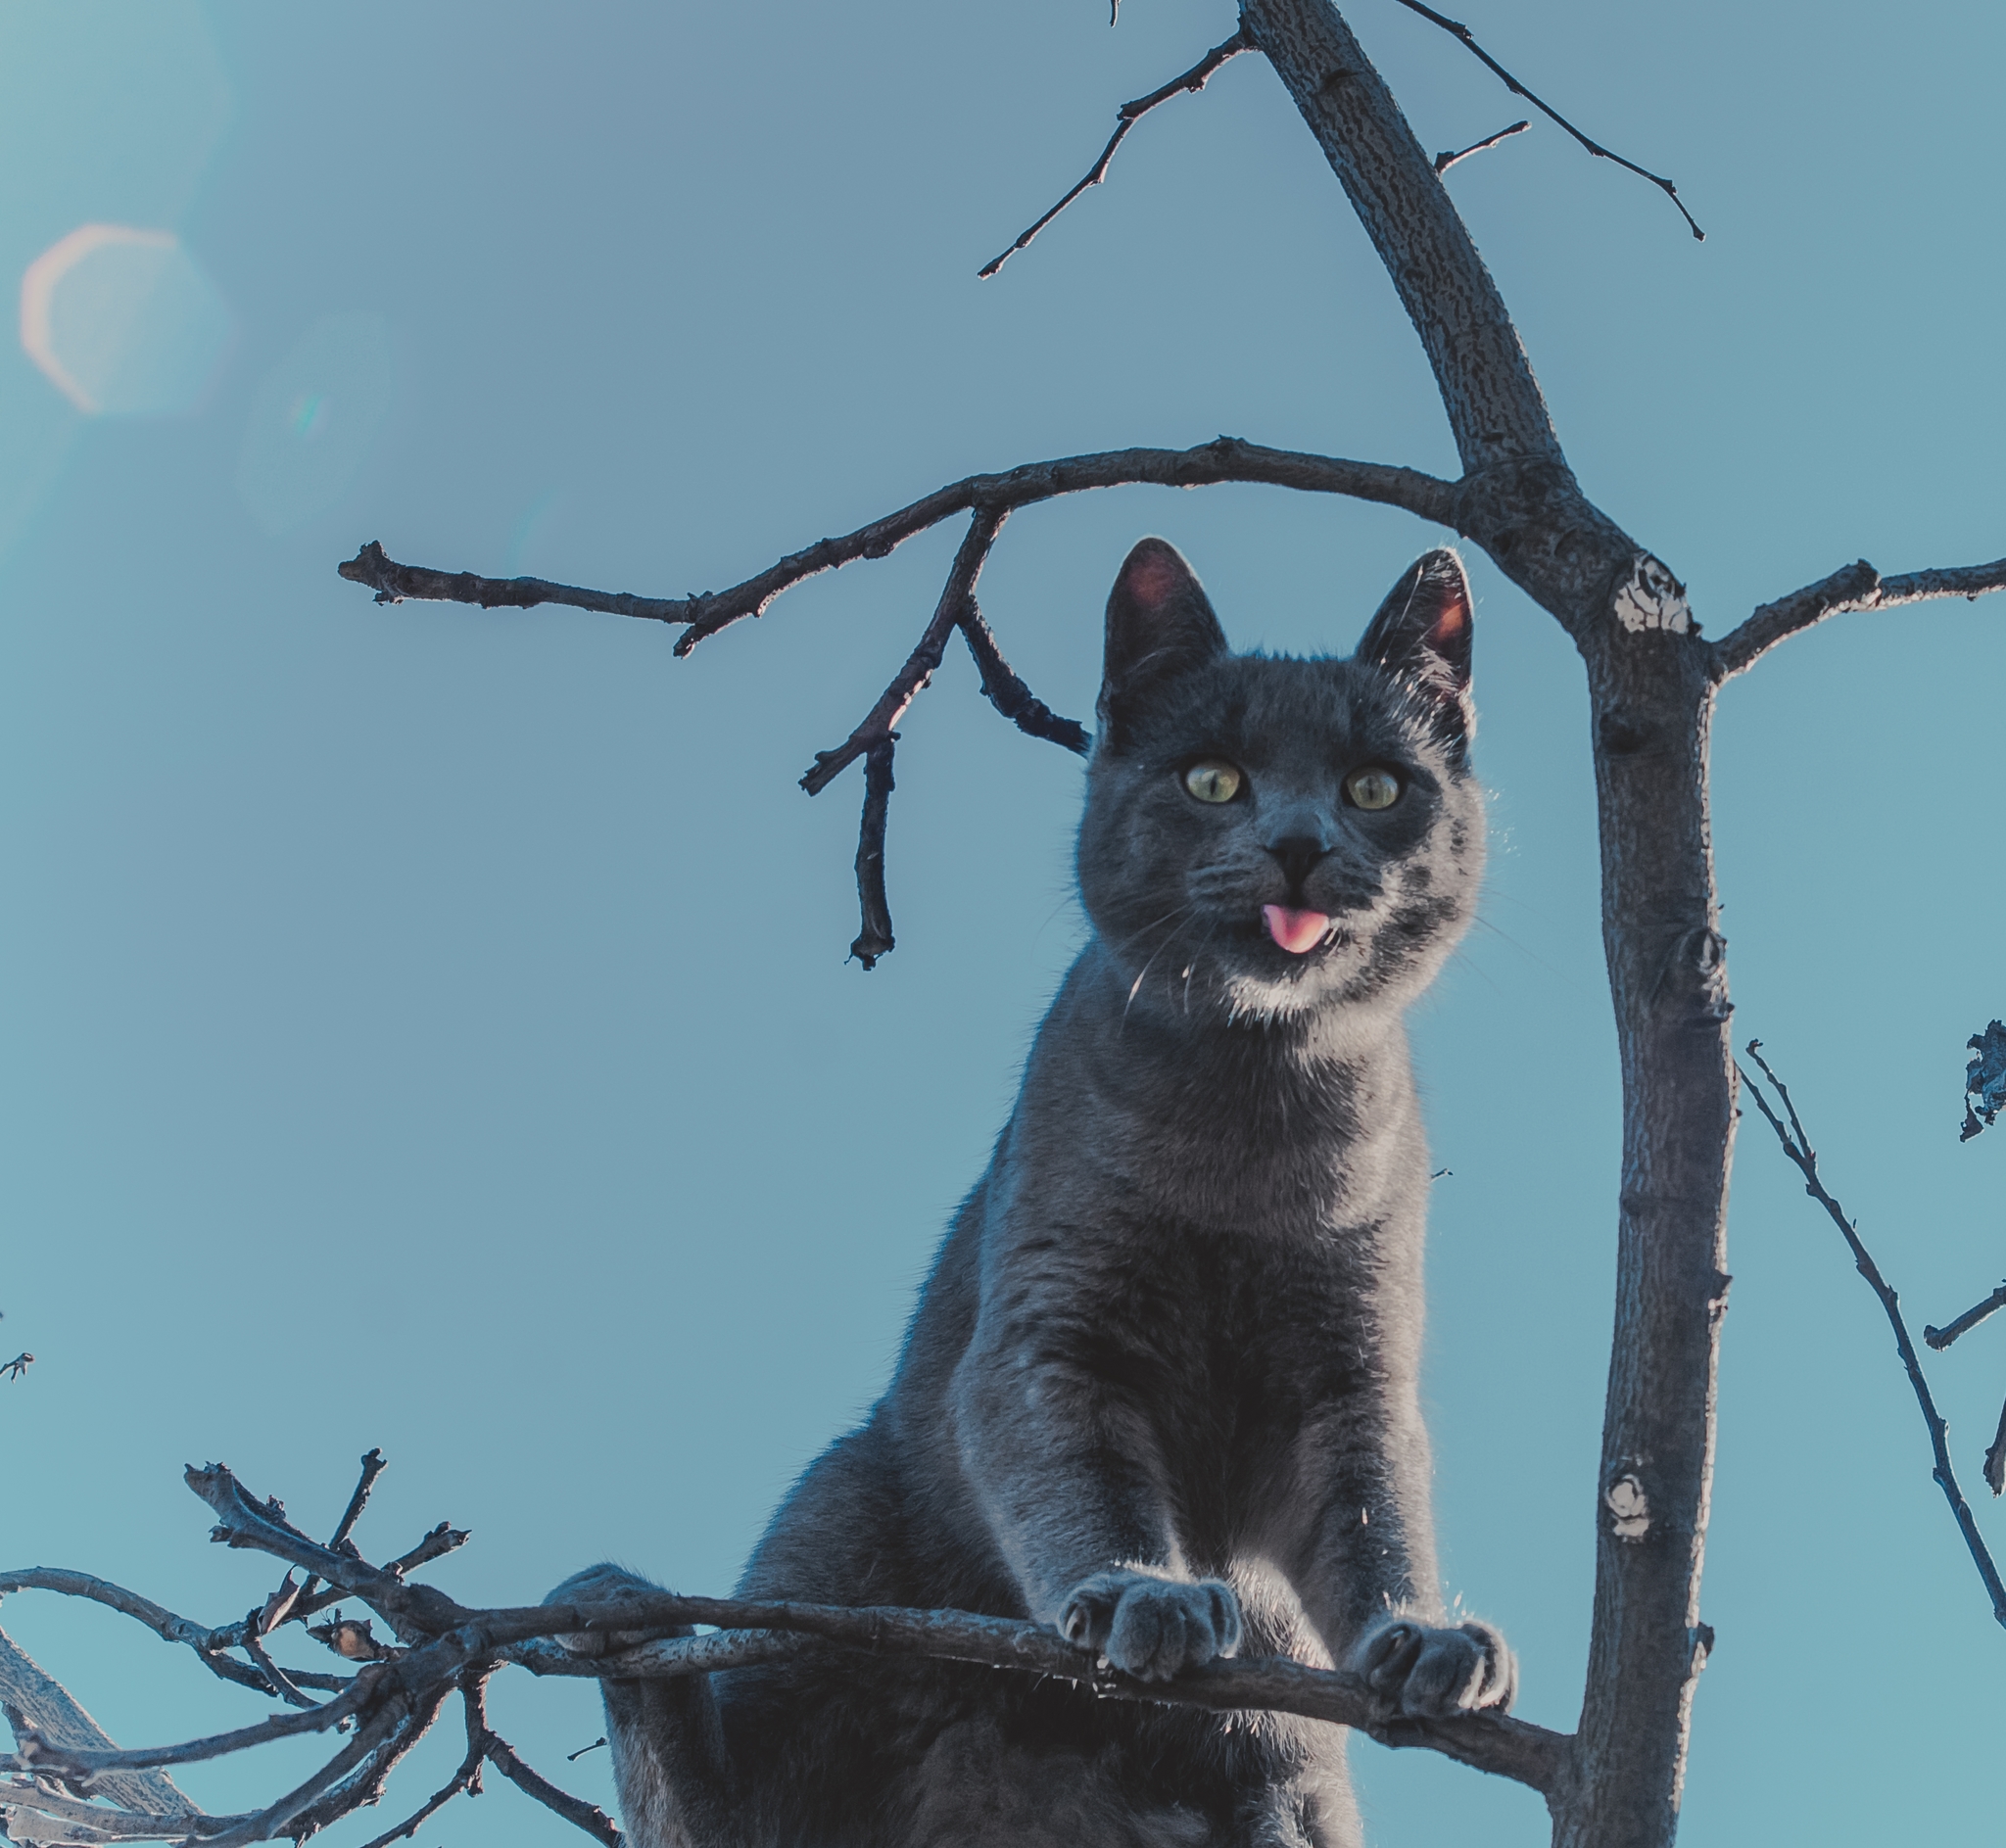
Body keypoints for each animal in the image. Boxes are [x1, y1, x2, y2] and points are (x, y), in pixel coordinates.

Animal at [546, 542, 1508, 1845]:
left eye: (1372, 787)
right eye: (1212, 778)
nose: (1300, 839)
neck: (1246, 1133)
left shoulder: (1349, 1368)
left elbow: (1375, 1515)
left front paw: (1420, 1639)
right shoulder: (1049, 1330)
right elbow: (1079, 1477)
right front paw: (1143, 1596)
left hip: (1277, 1737)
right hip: (835, 1551)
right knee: (721, 1807)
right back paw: (618, 1613)